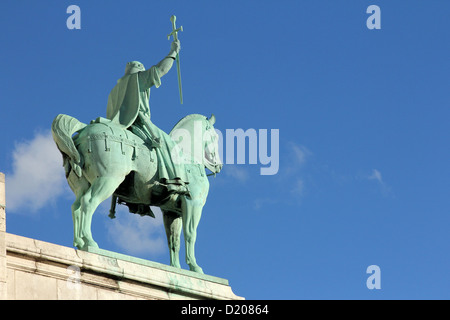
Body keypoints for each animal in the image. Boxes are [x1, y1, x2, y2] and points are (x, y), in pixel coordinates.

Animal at [51, 112, 222, 272]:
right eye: (215, 137)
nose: (218, 165)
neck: (188, 158)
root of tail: (83, 130)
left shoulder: (171, 211)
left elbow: (173, 241)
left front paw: (176, 268)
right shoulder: (193, 204)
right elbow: (190, 233)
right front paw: (194, 266)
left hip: (83, 186)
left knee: (76, 207)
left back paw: (79, 242)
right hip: (108, 181)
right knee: (88, 203)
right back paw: (89, 242)